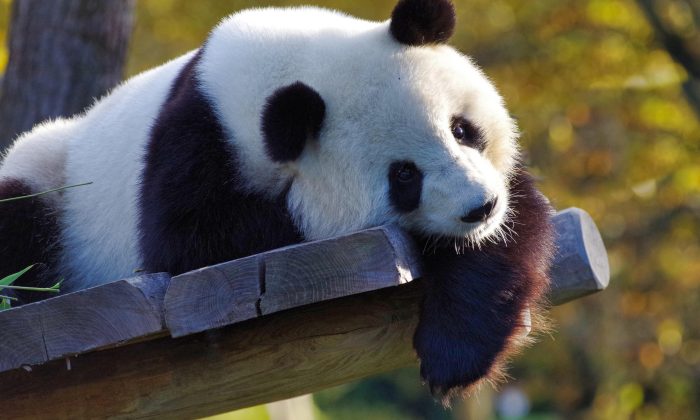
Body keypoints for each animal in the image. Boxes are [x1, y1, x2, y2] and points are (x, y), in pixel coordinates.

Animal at [0, 0, 554, 402]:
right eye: (404, 176)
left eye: (462, 129)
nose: (480, 207)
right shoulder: (191, 147)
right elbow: (189, 243)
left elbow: (513, 227)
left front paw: (452, 357)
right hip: (51, 177)